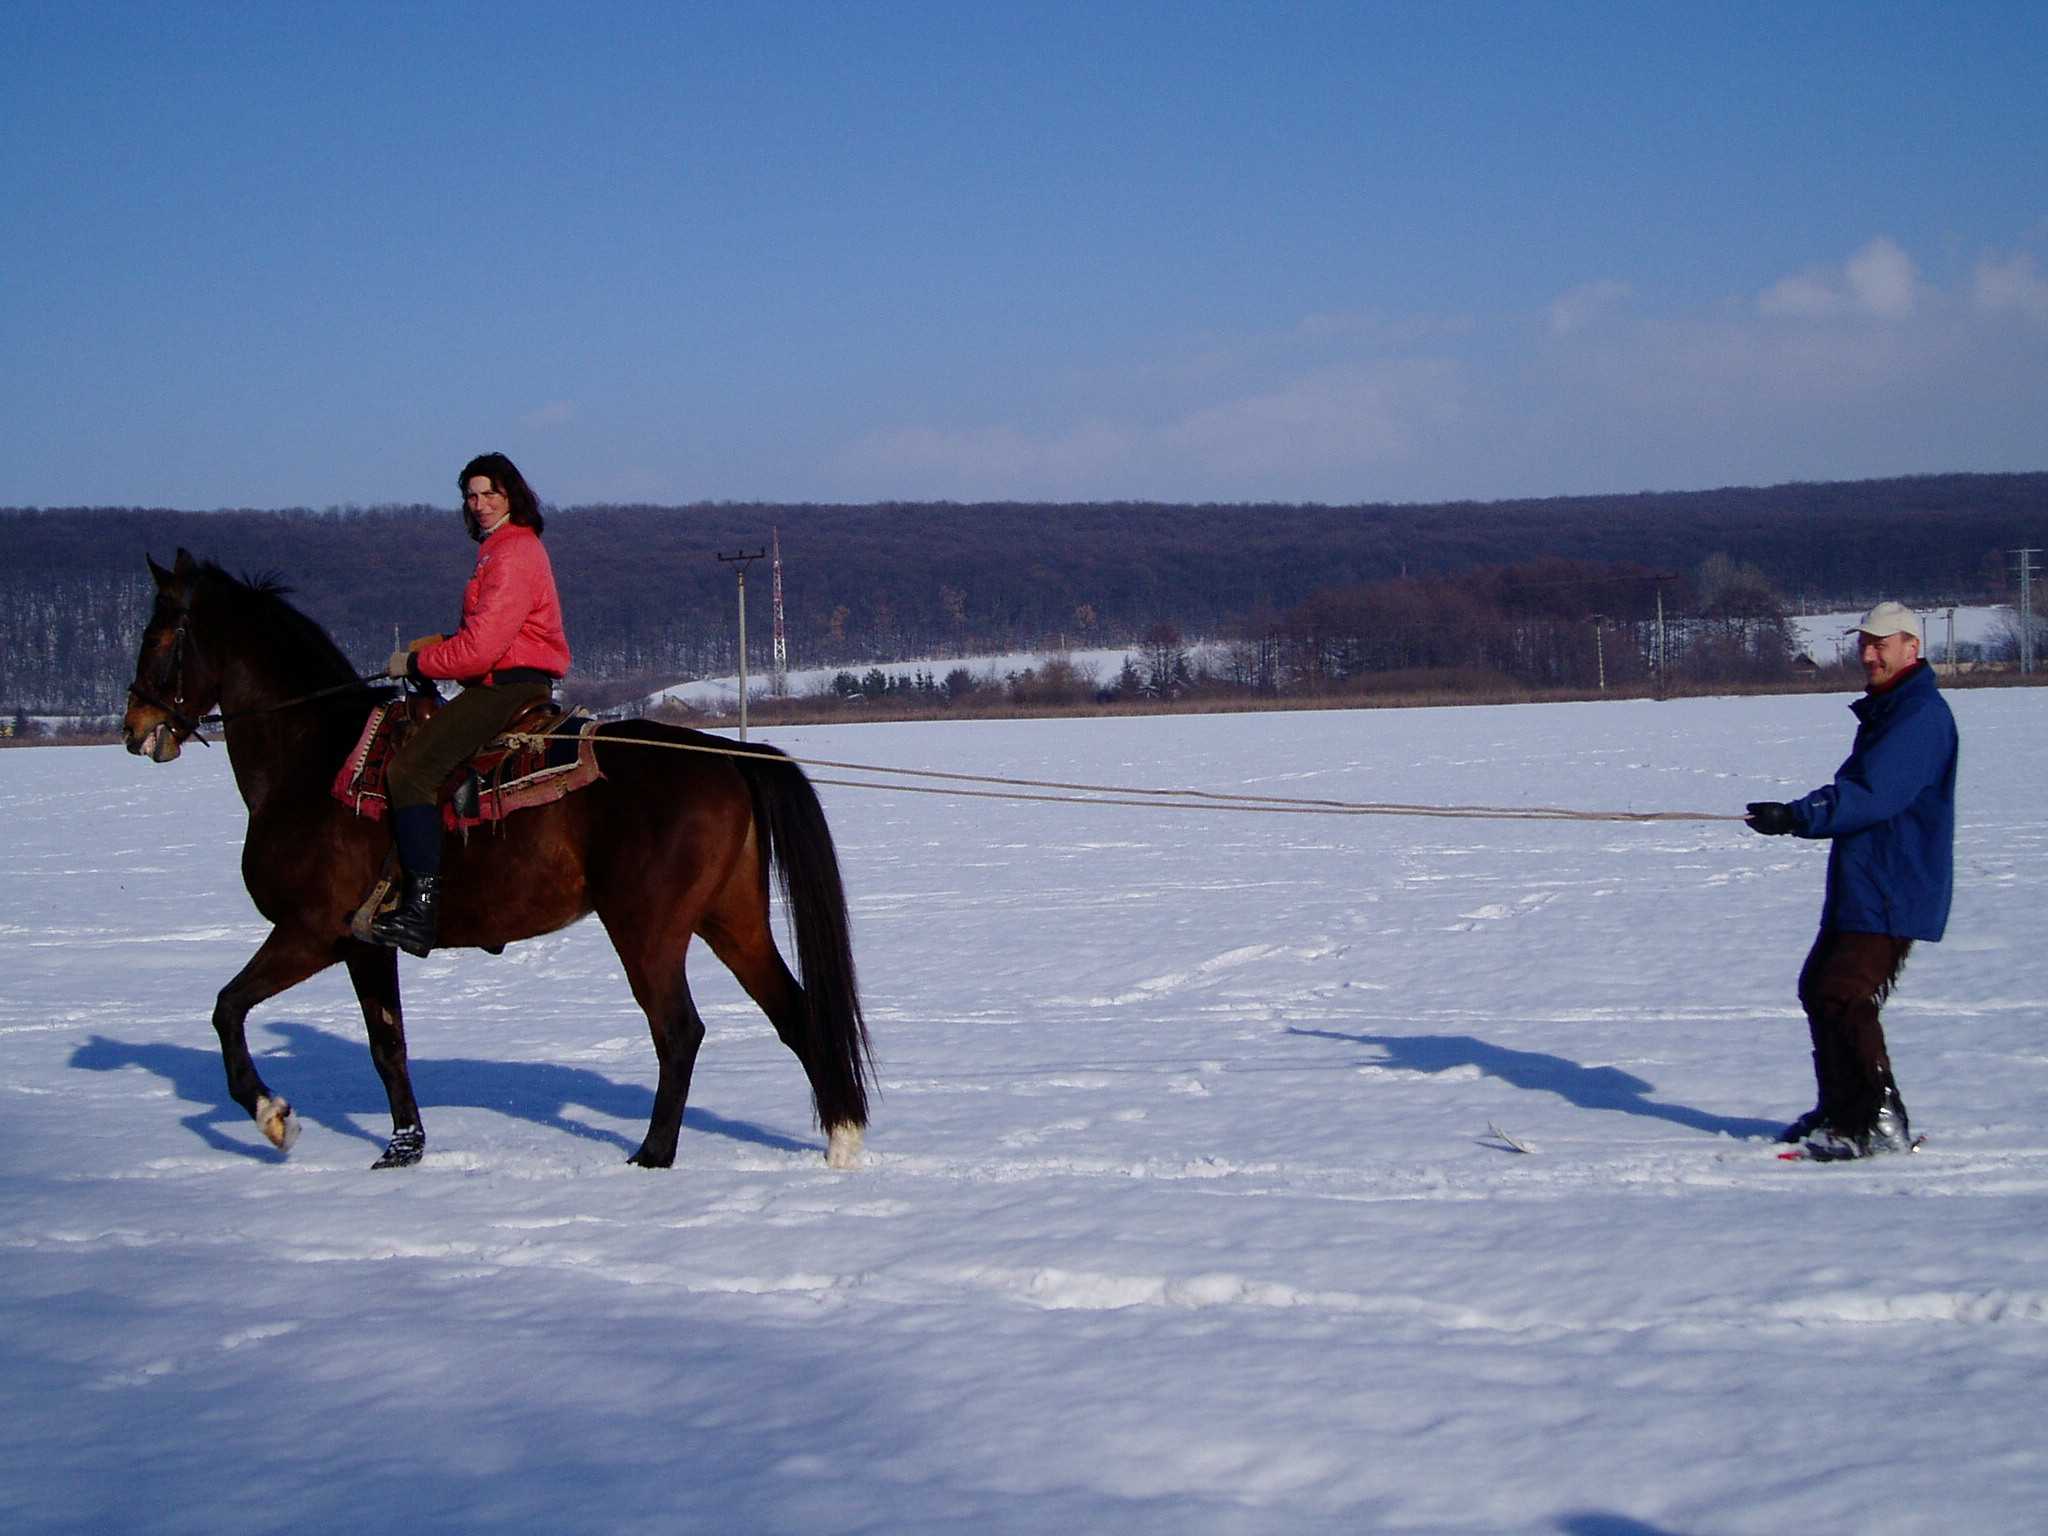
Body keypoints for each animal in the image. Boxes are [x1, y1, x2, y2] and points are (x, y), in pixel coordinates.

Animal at [117, 548, 872, 1163]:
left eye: (159, 636)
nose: (135, 727)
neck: (314, 759)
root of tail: (728, 753)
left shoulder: (311, 932)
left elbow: (227, 1008)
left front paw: (274, 1116)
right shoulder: (364, 945)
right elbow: (387, 1045)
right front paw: (403, 1147)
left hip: (647, 929)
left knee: (679, 1031)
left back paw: (653, 1156)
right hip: (731, 921)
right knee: (795, 1012)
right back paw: (841, 1141)